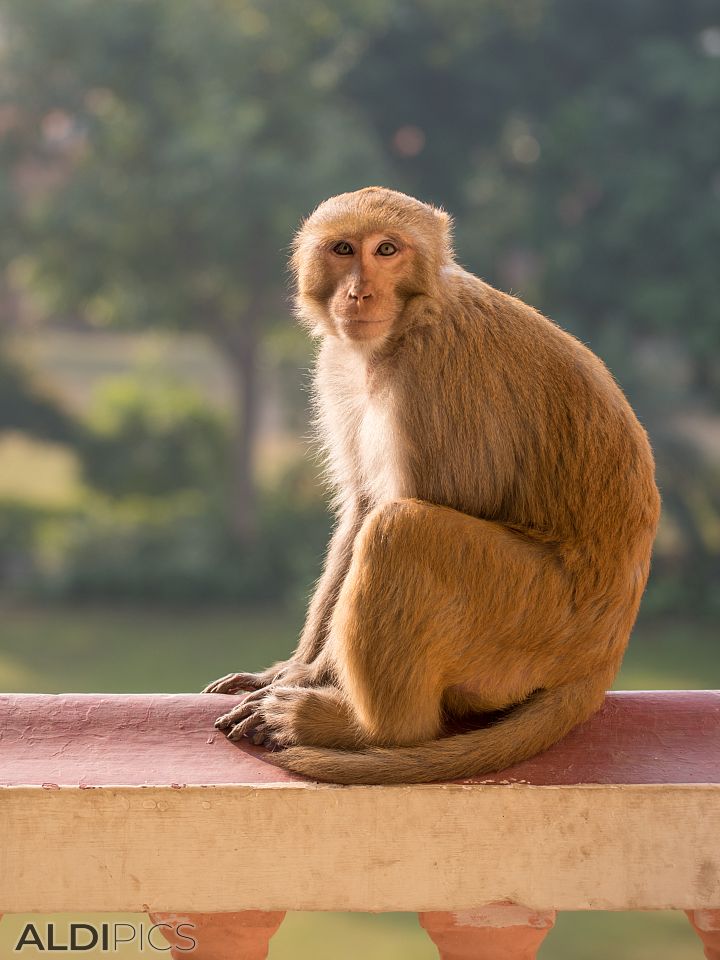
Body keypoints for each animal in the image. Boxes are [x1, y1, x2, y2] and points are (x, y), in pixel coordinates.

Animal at [201, 186, 660, 788]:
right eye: (344, 249)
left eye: (387, 250)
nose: (359, 291)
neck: (406, 326)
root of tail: (600, 660)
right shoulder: (338, 365)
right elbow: (361, 506)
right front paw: (292, 669)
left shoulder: (435, 373)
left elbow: (419, 505)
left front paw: (306, 680)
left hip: (533, 625)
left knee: (404, 530)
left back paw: (370, 730)